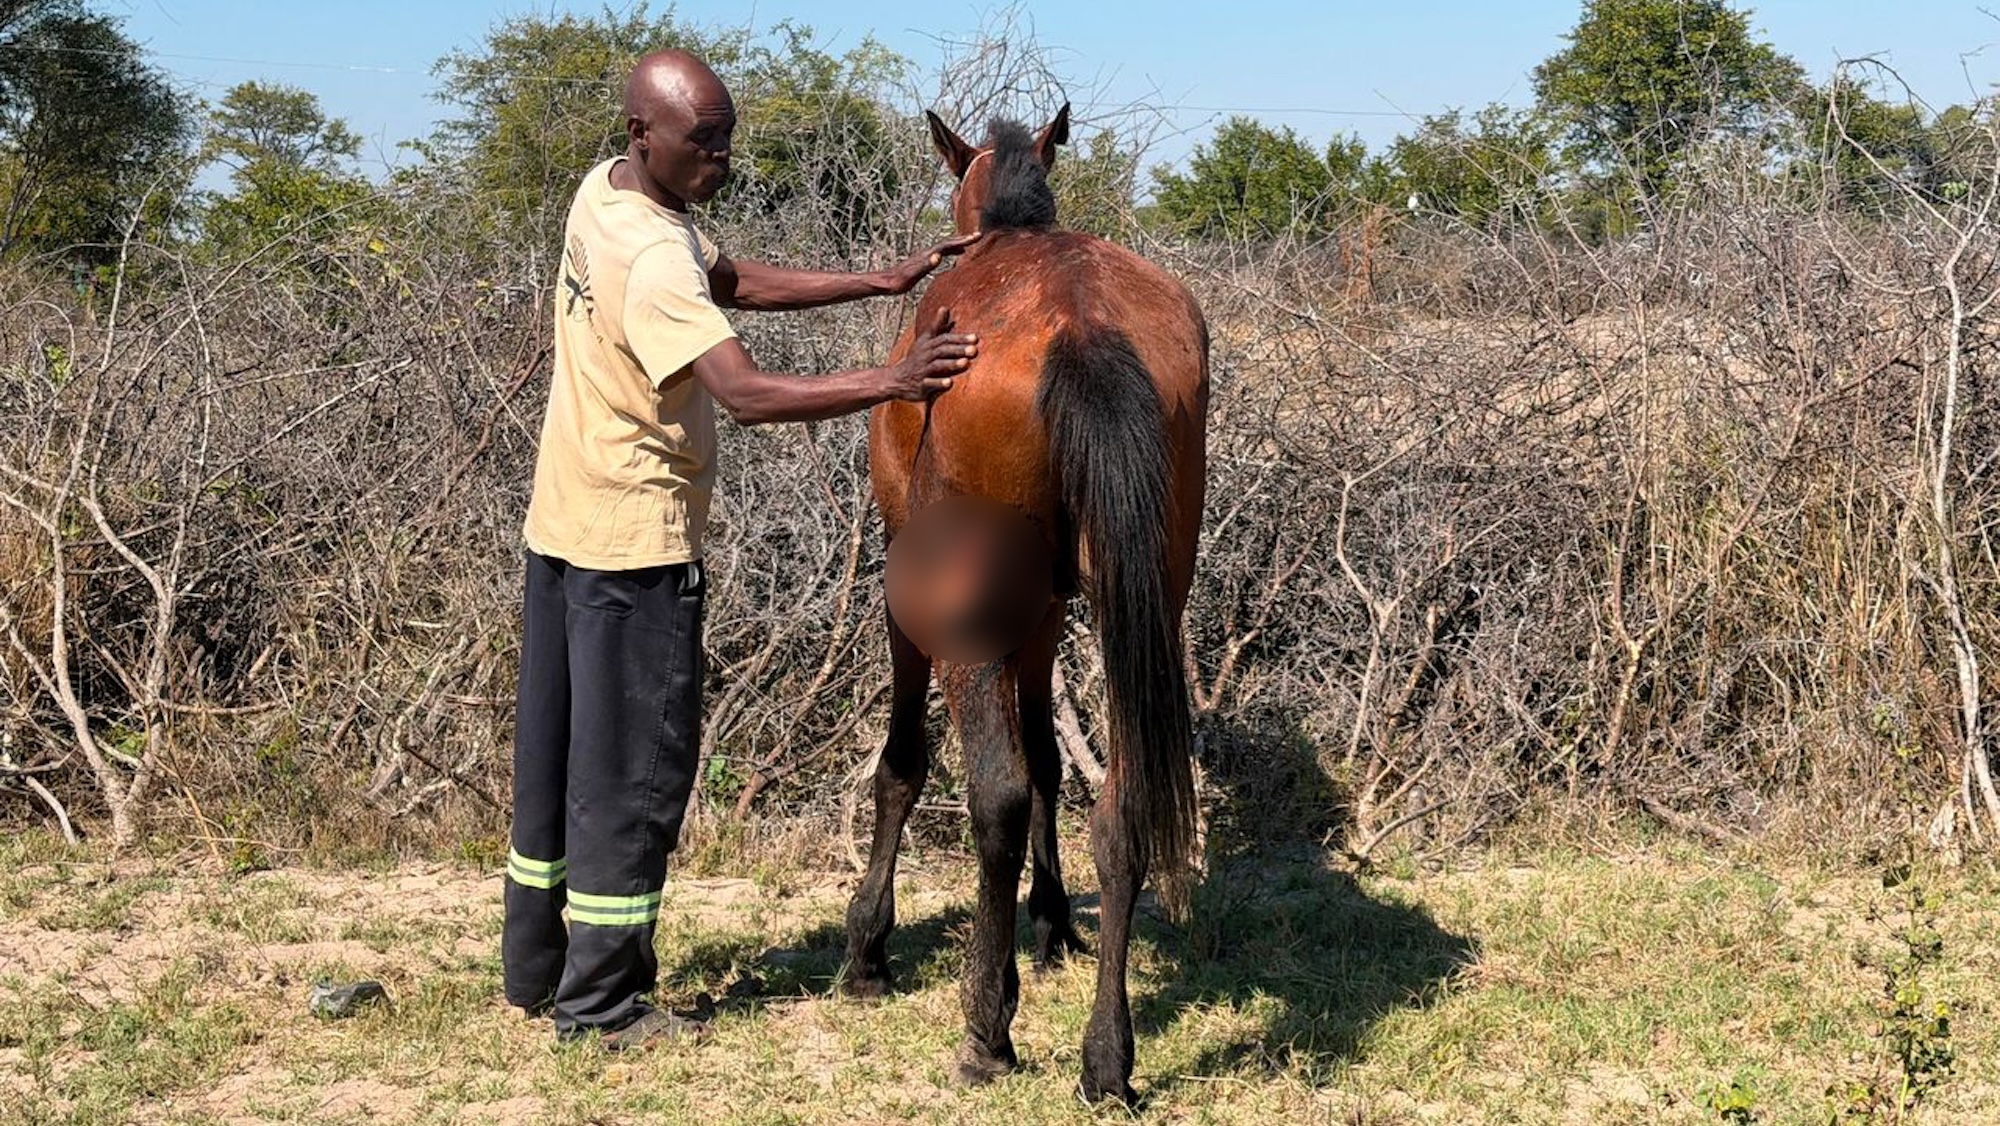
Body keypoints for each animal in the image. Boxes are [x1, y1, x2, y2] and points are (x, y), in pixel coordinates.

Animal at [840, 103, 1209, 1104]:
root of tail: (1084, 326)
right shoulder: (1046, 611)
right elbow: (1050, 758)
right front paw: (1051, 925)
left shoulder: (911, 604)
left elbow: (905, 764)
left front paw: (869, 947)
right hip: (1143, 599)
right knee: (1119, 807)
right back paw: (1107, 1057)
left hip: (965, 619)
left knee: (994, 800)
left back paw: (985, 1030)